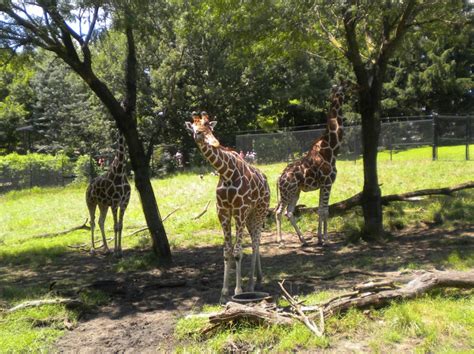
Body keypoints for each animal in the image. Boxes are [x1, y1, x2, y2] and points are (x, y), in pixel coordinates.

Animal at [187, 111, 272, 302]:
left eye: (210, 128)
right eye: (197, 131)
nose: (215, 142)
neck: (226, 174)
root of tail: (265, 179)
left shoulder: (239, 211)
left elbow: (238, 252)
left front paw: (238, 290)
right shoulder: (224, 213)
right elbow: (227, 252)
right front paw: (224, 293)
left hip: (259, 210)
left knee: (256, 242)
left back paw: (252, 284)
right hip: (249, 216)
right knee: (255, 240)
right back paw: (258, 278)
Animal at [276, 83, 346, 246]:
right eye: (342, 90)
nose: (347, 93)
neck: (331, 150)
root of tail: (278, 179)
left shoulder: (323, 185)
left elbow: (322, 209)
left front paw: (320, 238)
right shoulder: (327, 183)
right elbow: (324, 210)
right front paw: (325, 239)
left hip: (295, 192)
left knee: (289, 212)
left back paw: (303, 240)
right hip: (287, 193)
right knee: (279, 212)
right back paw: (280, 240)